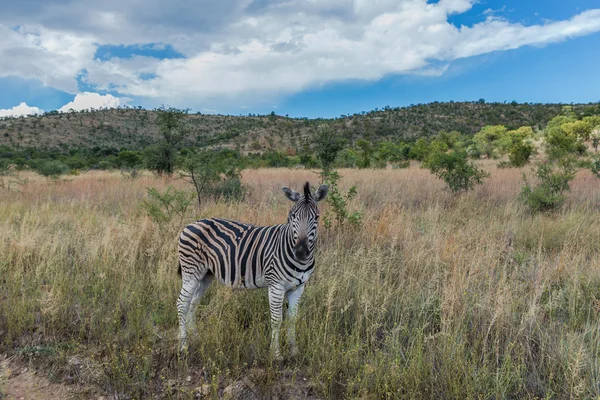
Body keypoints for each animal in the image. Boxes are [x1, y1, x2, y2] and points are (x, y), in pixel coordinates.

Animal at [176, 181, 330, 360]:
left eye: (316, 217)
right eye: (292, 216)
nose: (300, 251)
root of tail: (191, 224)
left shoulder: (298, 287)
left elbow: (292, 319)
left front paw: (294, 351)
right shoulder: (276, 285)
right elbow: (277, 320)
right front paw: (275, 355)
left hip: (205, 275)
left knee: (193, 303)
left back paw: (195, 337)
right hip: (191, 272)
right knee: (182, 303)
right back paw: (184, 346)